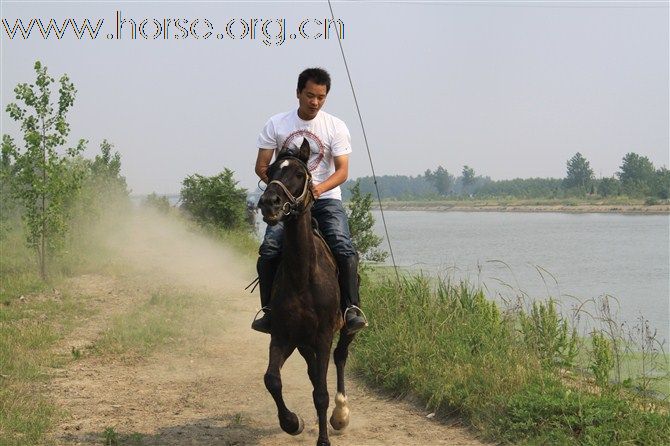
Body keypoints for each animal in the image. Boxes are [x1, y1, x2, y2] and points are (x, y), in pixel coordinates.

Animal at [258, 138, 360, 444]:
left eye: (300, 174)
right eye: (270, 171)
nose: (269, 203)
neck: (303, 276)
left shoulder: (324, 335)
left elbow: (322, 393)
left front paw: (324, 436)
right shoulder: (283, 334)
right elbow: (272, 379)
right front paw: (292, 422)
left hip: (345, 329)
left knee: (339, 358)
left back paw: (340, 414)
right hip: (303, 342)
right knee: (313, 370)